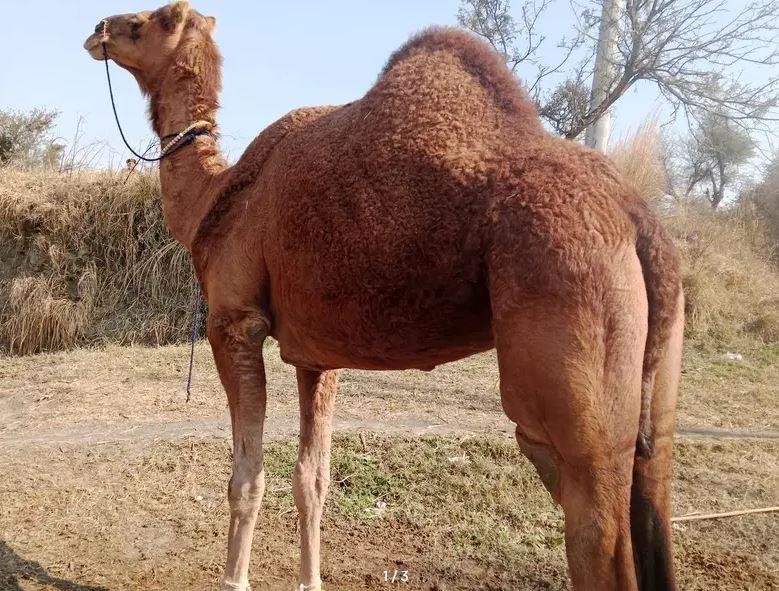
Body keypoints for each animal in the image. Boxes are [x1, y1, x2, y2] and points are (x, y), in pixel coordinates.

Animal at [84, 3, 684, 590]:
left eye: (147, 21)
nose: (97, 29)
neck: (213, 198)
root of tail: (638, 216)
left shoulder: (234, 324)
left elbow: (246, 478)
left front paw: (234, 580)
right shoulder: (316, 356)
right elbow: (311, 480)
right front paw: (310, 581)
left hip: (565, 328)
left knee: (594, 528)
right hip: (654, 378)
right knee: (651, 487)